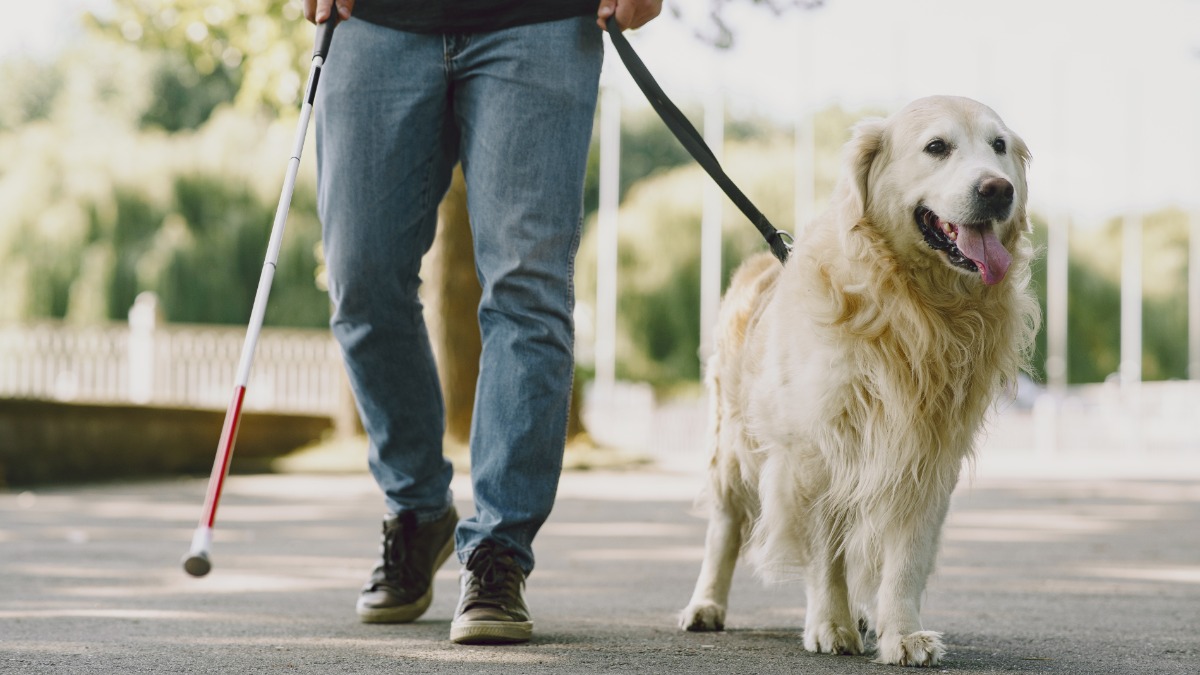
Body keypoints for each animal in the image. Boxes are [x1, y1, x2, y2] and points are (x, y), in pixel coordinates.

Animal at [681, 97, 1036, 662]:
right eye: (937, 147)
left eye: (999, 146)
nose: (998, 189)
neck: (913, 305)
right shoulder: (815, 451)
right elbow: (824, 553)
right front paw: (830, 624)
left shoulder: (928, 455)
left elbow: (906, 558)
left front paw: (902, 633)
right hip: (733, 446)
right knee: (725, 527)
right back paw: (706, 605)